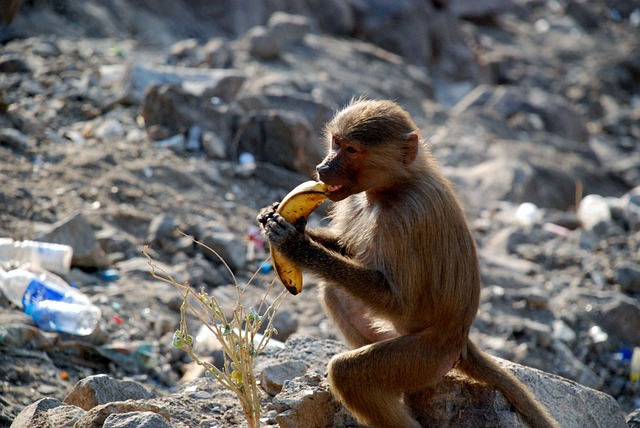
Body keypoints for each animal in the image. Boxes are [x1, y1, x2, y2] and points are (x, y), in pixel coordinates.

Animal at [258, 98, 556, 426]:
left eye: (351, 150)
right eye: (336, 142)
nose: (323, 168)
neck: (394, 186)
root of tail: (460, 339)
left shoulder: (406, 220)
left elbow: (400, 302)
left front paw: (296, 246)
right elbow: (349, 250)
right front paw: (285, 222)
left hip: (426, 358)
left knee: (349, 372)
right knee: (334, 292)